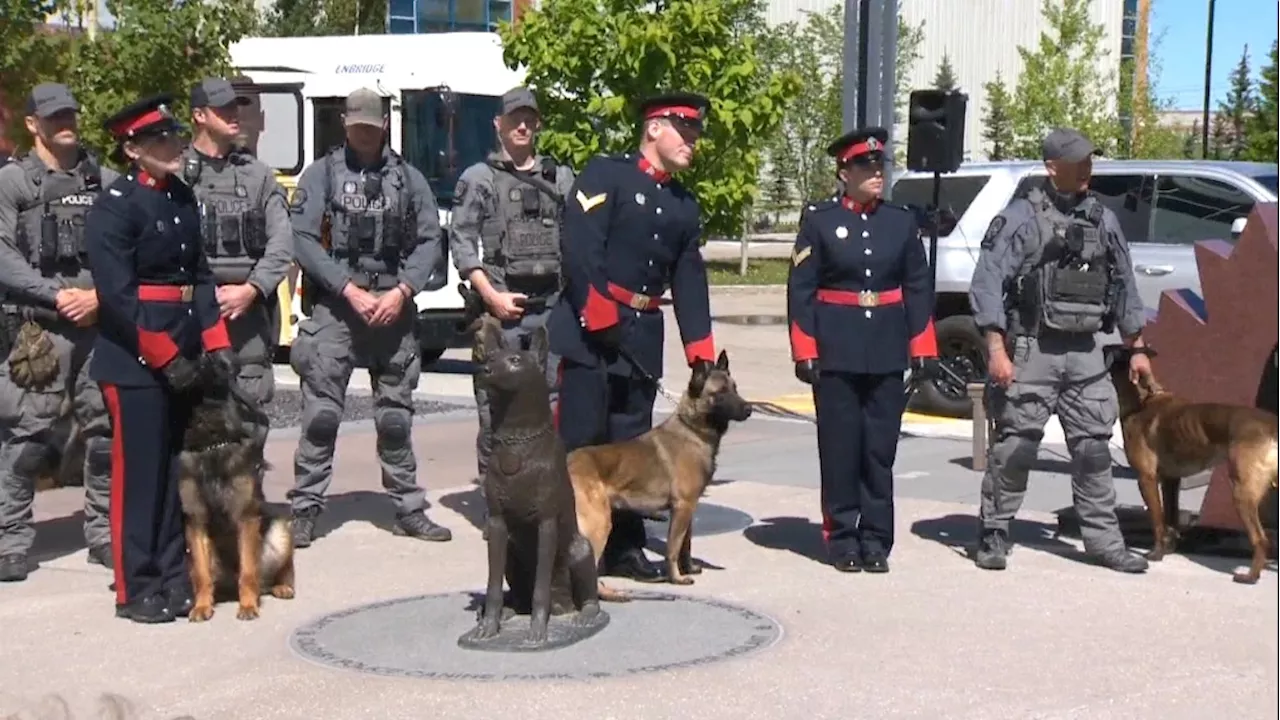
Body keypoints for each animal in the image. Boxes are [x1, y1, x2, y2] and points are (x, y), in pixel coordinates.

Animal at [177, 356, 294, 617]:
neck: (210, 444)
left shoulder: (246, 518)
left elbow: (248, 572)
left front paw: (248, 606)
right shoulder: (196, 521)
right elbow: (202, 574)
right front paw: (202, 606)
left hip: (280, 532)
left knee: (275, 573)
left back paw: (281, 586)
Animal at [568, 351, 747, 597]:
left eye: (735, 388)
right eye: (720, 393)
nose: (749, 409)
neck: (692, 429)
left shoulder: (687, 508)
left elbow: (685, 544)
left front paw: (688, 568)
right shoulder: (683, 507)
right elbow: (673, 547)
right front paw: (677, 578)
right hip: (599, 523)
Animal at [1105, 343, 1274, 584]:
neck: (1143, 400)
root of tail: (1272, 425)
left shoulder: (1146, 479)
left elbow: (1157, 520)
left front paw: (1156, 554)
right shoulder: (1170, 480)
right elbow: (1171, 518)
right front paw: (1168, 549)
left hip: (1243, 493)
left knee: (1260, 539)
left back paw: (1250, 576)